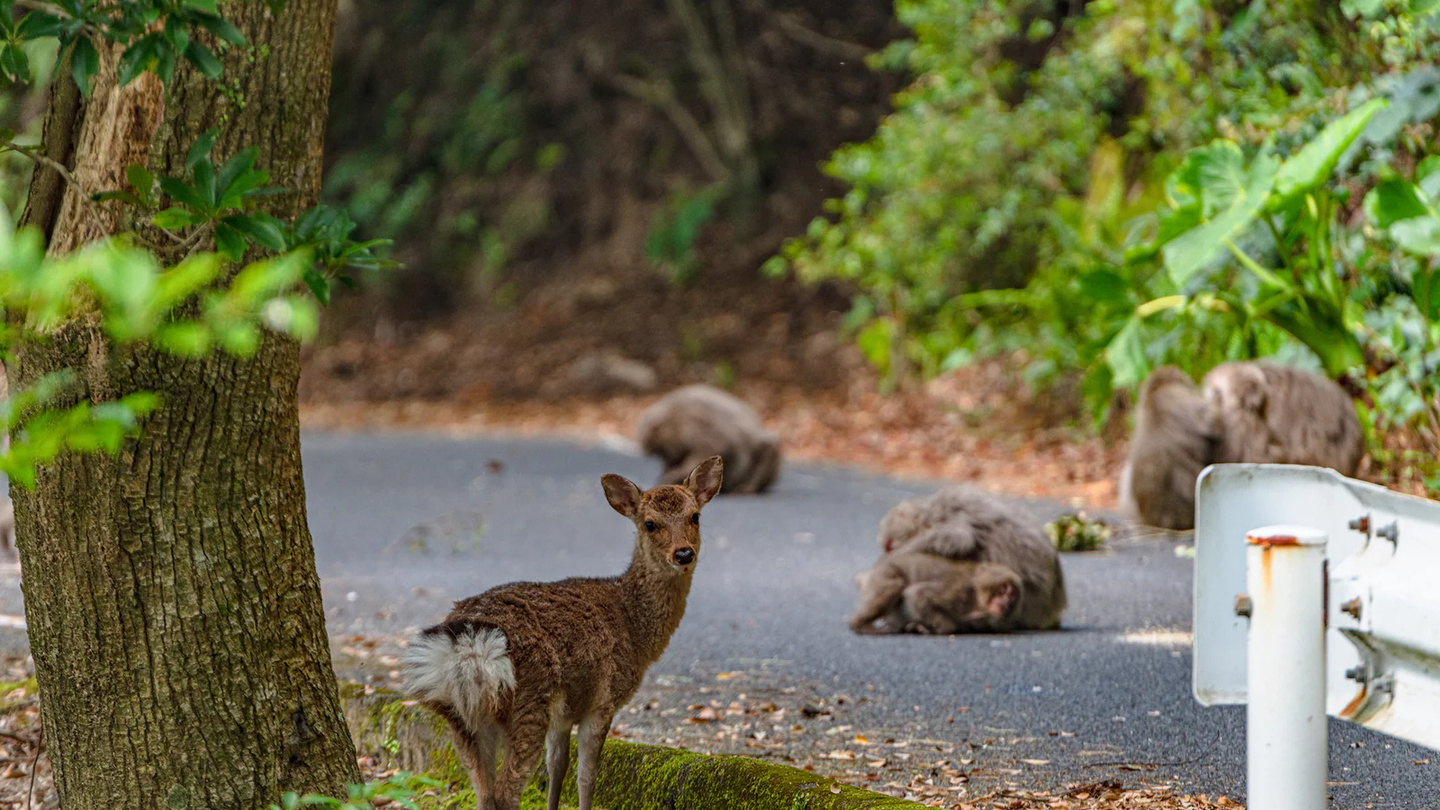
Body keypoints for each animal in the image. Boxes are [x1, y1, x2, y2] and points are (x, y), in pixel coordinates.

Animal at [402, 455, 723, 810]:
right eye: (650, 524)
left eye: (695, 516)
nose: (683, 554)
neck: (635, 628)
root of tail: (465, 648)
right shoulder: (603, 701)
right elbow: (587, 776)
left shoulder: (564, 713)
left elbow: (557, 767)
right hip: (528, 702)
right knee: (505, 792)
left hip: (461, 718)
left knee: (483, 794)